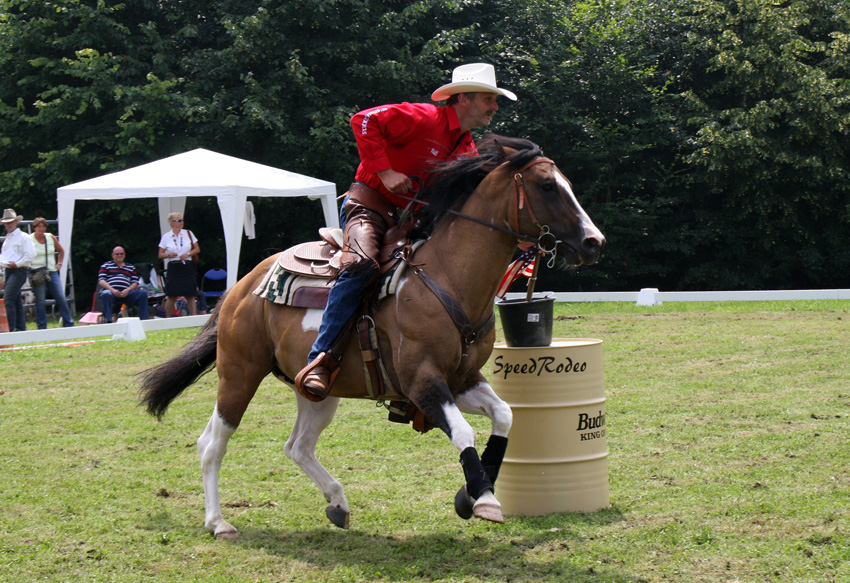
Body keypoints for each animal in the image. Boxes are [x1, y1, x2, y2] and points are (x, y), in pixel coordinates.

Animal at [139, 136, 604, 540]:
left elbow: (505, 416)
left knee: (297, 446)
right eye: (547, 185)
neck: (447, 278)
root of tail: (241, 287)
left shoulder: (463, 380)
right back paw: (219, 522)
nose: (593, 242)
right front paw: (484, 499)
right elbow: (464, 433)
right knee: (212, 444)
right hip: (239, 374)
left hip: (318, 391)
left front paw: (471, 493)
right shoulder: (423, 382)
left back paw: (338, 503)